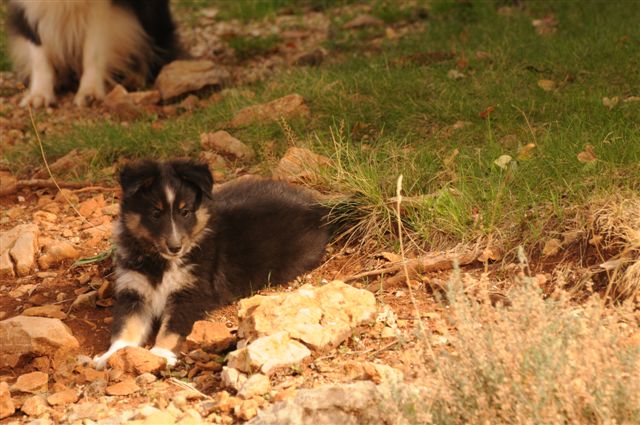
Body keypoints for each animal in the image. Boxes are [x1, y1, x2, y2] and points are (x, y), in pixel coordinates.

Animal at [6, 0, 180, 106]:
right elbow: (39, 56)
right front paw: (39, 96)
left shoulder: (101, 12)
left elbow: (93, 52)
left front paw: (90, 93)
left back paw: (134, 78)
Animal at [93, 159, 332, 368]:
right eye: (155, 214)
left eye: (185, 212)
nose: (175, 247)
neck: (161, 263)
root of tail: (316, 207)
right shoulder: (134, 290)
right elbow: (126, 326)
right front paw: (113, 355)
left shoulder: (191, 294)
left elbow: (170, 328)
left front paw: (161, 353)